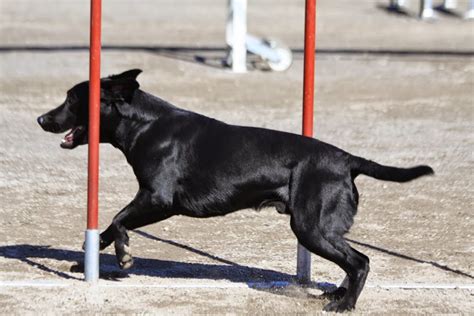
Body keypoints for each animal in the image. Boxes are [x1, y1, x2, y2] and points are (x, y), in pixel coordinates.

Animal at [39, 68, 434, 312]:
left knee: (361, 261)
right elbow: (106, 227)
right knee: (352, 263)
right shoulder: (150, 200)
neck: (146, 125)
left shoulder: (158, 199)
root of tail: (348, 159)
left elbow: (119, 220)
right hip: (318, 229)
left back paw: (345, 304)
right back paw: (337, 293)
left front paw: (124, 257)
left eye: (72, 99)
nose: (42, 119)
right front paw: (84, 261)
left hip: (310, 227)